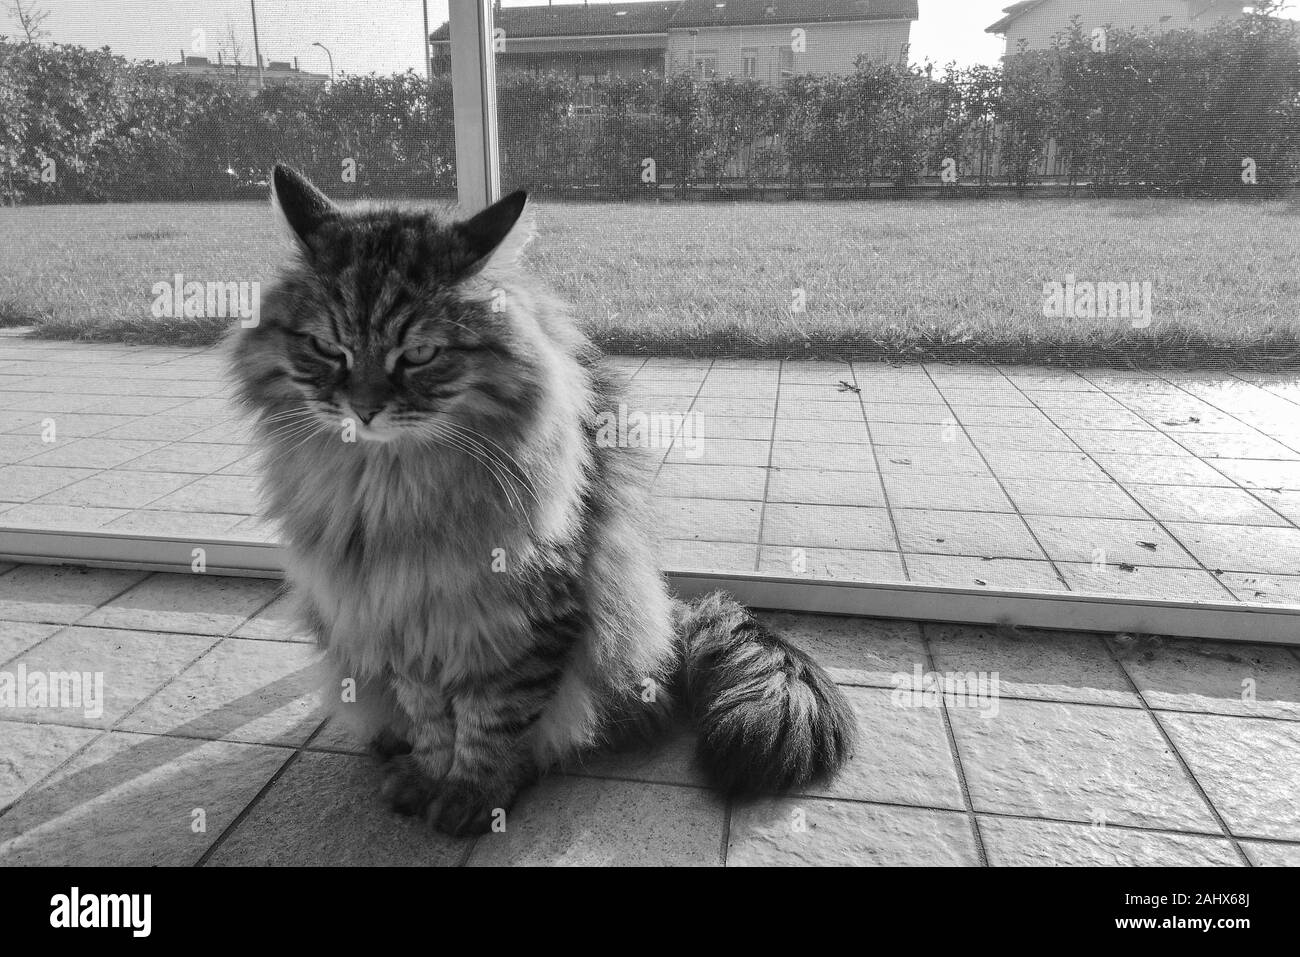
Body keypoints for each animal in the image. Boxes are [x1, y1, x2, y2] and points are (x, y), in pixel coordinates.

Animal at [228, 166, 857, 837]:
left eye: (419, 354)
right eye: (328, 349)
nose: (364, 409)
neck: (395, 489)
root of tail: (674, 621)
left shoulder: (526, 613)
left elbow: (493, 720)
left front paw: (471, 795)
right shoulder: (398, 614)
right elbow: (429, 719)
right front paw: (427, 774)